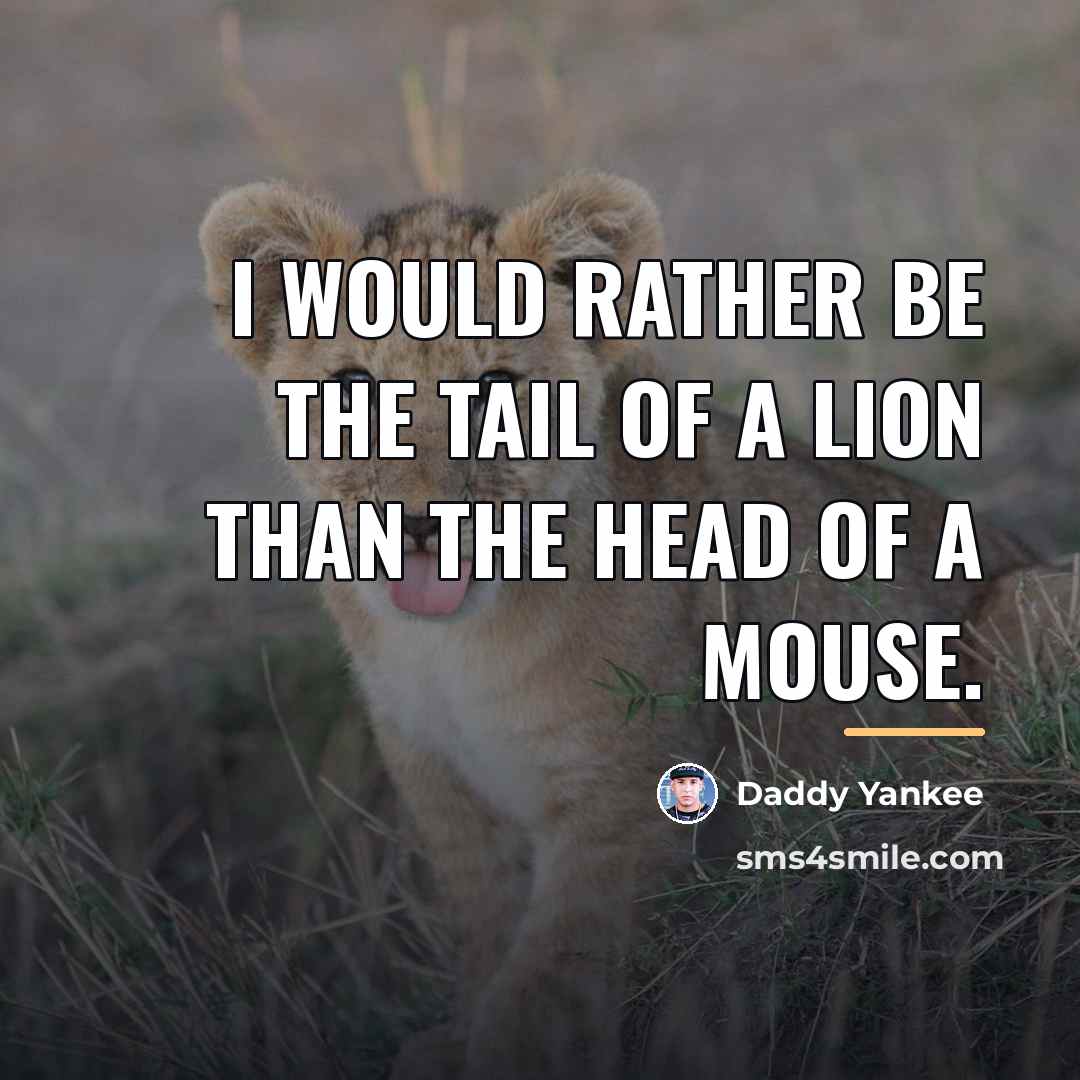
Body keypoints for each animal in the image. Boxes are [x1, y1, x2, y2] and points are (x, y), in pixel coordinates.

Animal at [198, 172, 1071, 1079]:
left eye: (497, 385)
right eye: (353, 385)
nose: (420, 523)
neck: (450, 648)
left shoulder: (624, 801)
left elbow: (546, 981)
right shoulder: (445, 786)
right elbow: (488, 931)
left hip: (1022, 604)